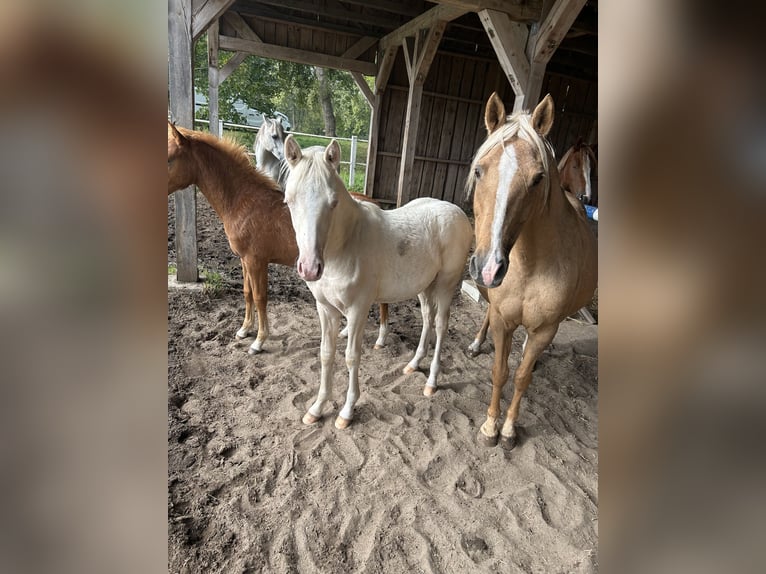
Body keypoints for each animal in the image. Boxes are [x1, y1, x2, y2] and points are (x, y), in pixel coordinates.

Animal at [167, 124, 390, 354]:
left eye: (170, 158)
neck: (243, 201)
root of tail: (377, 206)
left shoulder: (257, 261)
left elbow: (260, 297)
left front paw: (258, 342)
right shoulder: (244, 260)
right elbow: (247, 293)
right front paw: (244, 330)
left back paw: (380, 340)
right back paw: (346, 332)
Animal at [282, 137, 474, 430]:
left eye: (333, 202)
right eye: (289, 201)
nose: (310, 268)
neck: (346, 244)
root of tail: (458, 213)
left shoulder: (358, 310)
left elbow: (351, 356)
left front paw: (346, 412)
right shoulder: (326, 308)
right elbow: (326, 354)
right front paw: (316, 408)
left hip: (445, 286)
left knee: (441, 326)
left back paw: (431, 382)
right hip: (424, 287)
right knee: (427, 320)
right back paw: (413, 364)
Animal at [468, 93, 600, 450]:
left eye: (538, 178)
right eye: (479, 171)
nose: (489, 267)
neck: (531, 264)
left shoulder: (545, 329)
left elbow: (521, 376)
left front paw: (509, 429)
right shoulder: (503, 320)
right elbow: (500, 372)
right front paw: (490, 427)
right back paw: (476, 343)